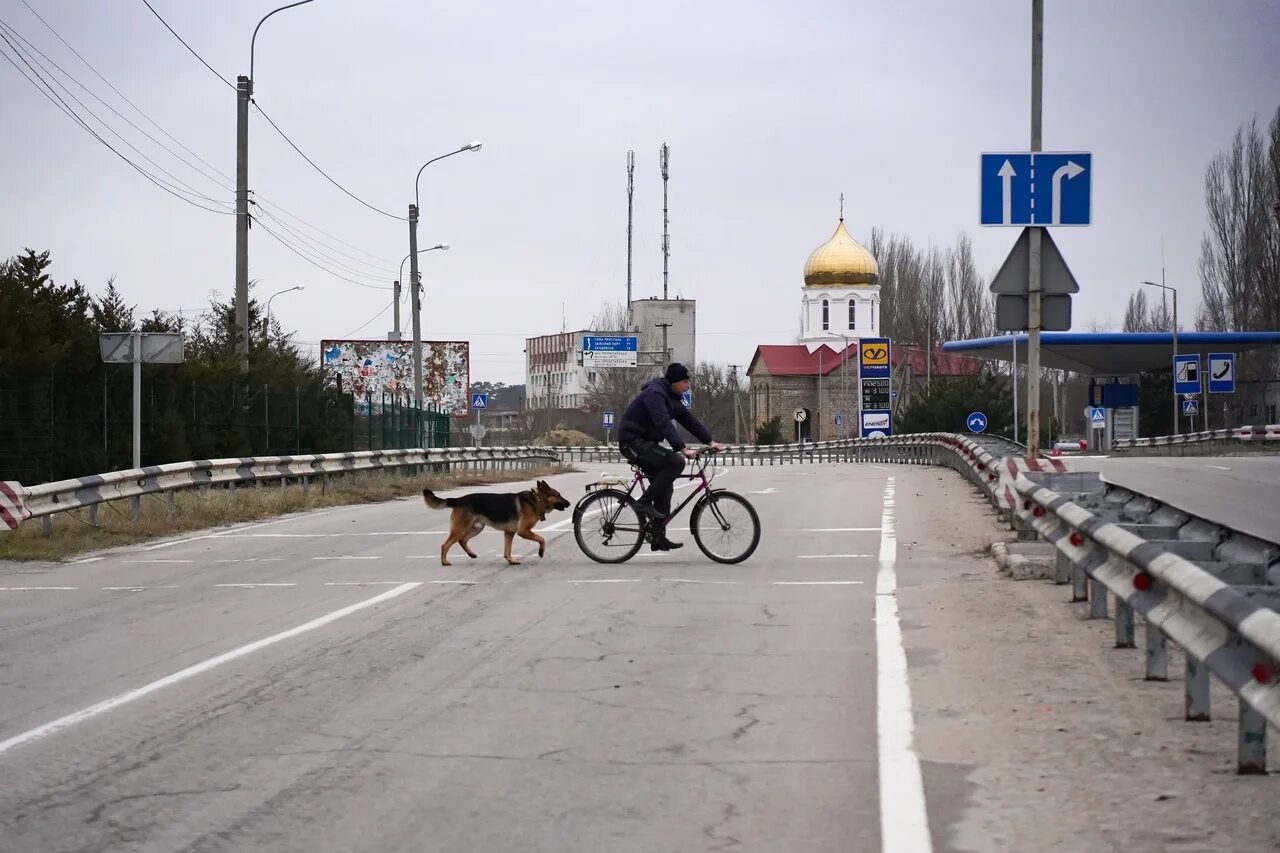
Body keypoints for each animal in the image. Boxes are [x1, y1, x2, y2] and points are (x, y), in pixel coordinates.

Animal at [419, 479, 570, 563]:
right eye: (558, 495)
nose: (569, 503)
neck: (536, 500)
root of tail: (459, 500)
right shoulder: (523, 531)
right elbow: (542, 539)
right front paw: (541, 552)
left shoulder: (509, 533)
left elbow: (507, 551)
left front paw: (511, 561)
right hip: (461, 529)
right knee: (445, 545)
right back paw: (444, 562)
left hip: (477, 528)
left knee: (462, 541)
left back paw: (471, 554)